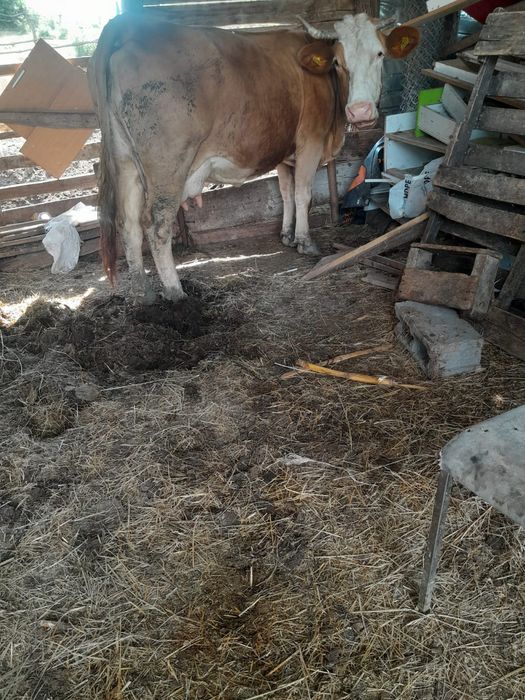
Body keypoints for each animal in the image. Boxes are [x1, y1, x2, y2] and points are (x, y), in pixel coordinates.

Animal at [89, 13, 419, 303]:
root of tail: (130, 25)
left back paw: (143, 293)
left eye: (379, 54)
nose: (360, 111)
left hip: (125, 161)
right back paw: (175, 292)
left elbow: (286, 193)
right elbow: (303, 193)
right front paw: (305, 242)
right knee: (156, 227)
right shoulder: (310, 142)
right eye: (338, 62)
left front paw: (286, 235)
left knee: (129, 224)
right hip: (167, 166)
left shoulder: (285, 153)